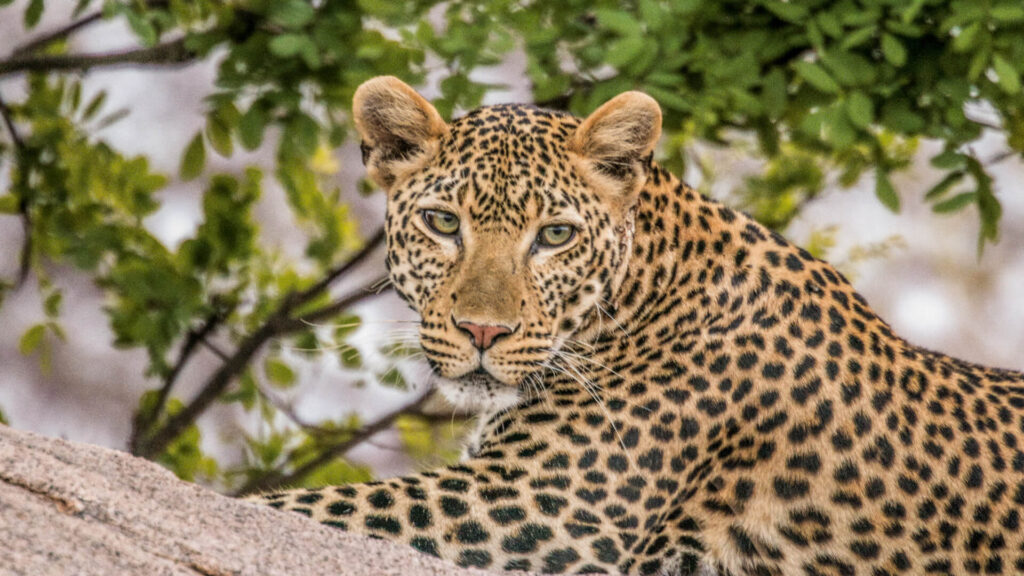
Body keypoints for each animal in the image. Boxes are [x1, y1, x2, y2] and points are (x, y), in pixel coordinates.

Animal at [253, 76, 1024, 576]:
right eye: (444, 223)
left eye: (555, 235)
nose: (482, 332)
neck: (641, 293)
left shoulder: (537, 507)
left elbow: (310, 508)